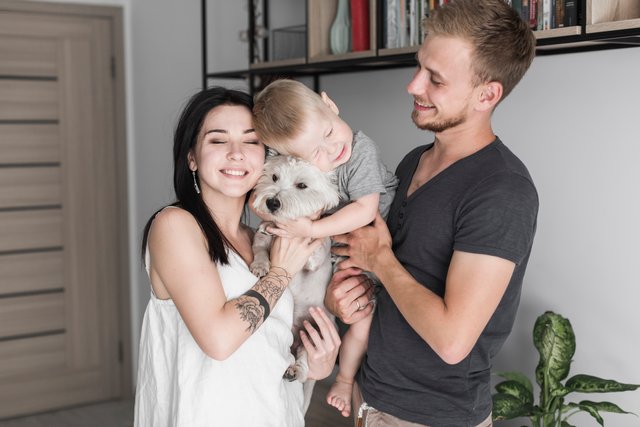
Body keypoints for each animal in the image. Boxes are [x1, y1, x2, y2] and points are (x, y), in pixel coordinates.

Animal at [249, 155, 340, 412]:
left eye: (302, 185)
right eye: (274, 177)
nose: (272, 202)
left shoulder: (317, 254)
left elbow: (313, 248)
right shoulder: (260, 240)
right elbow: (260, 249)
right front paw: (261, 266)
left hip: (315, 334)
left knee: (303, 362)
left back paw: (295, 370)